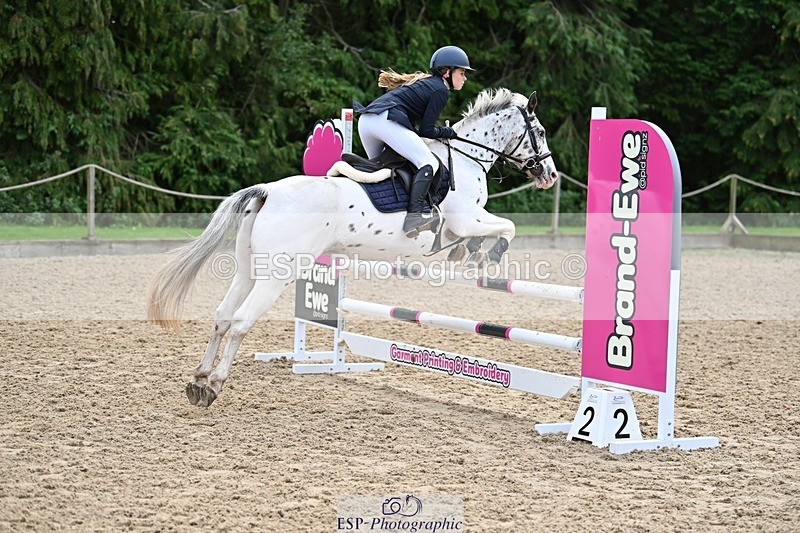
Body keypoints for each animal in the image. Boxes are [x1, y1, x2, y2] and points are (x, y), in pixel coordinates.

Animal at [147, 88, 558, 407]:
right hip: (278, 275)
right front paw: (487, 254)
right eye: (538, 131)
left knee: (221, 316)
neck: (465, 159)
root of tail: (267, 192)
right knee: (239, 322)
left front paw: (469, 253)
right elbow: (507, 227)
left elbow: (485, 234)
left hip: (250, 269)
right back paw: (214, 385)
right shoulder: (466, 219)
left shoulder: (466, 224)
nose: (550, 175)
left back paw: (199, 379)